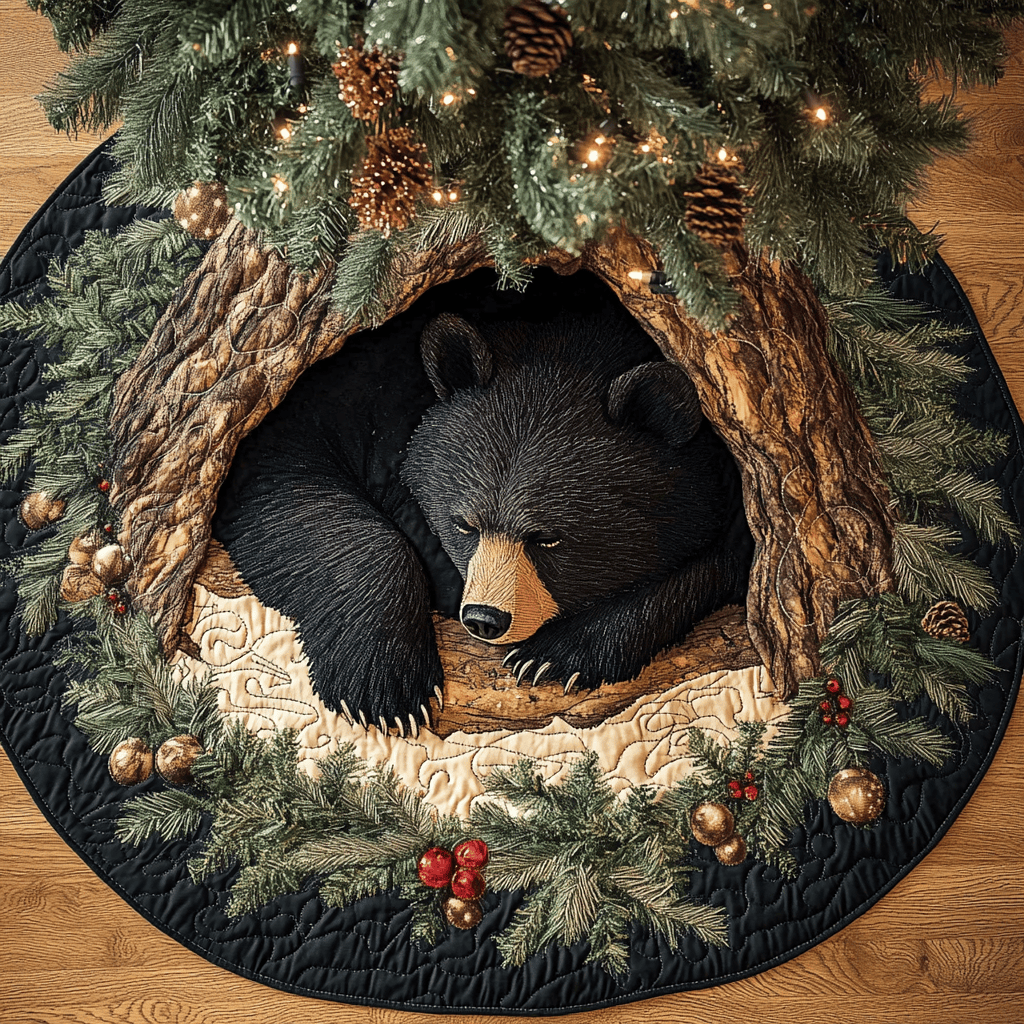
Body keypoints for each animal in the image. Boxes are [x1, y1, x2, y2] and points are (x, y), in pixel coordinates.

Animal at [211, 270, 749, 732]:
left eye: (550, 539)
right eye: (465, 524)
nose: (485, 619)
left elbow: (714, 563)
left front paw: (558, 653)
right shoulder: (342, 396)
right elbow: (287, 491)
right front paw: (384, 682)